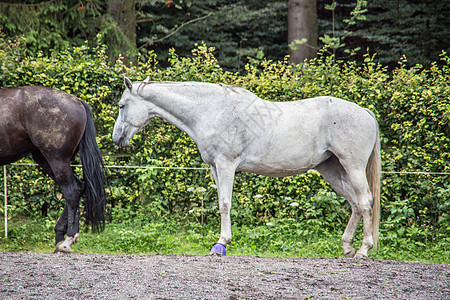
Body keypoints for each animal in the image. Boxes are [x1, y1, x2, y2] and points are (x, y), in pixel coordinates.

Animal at [0, 85, 106, 252]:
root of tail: (78, 102)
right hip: (45, 160)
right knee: (78, 187)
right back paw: (60, 238)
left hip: (56, 159)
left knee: (72, 190)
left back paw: (68, 239)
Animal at [111, 78, 380, 258]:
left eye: (122, 105)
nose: (116, 138)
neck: (212, 110)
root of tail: (365, 112)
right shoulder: (215, 168)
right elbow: (221, 202)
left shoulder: (226, 164)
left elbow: (224, 203)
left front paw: (221, 244)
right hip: (333, 170)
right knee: (355, 204)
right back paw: (347, 247)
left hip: (352, 167)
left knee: (365, 201)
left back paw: (364, 250)